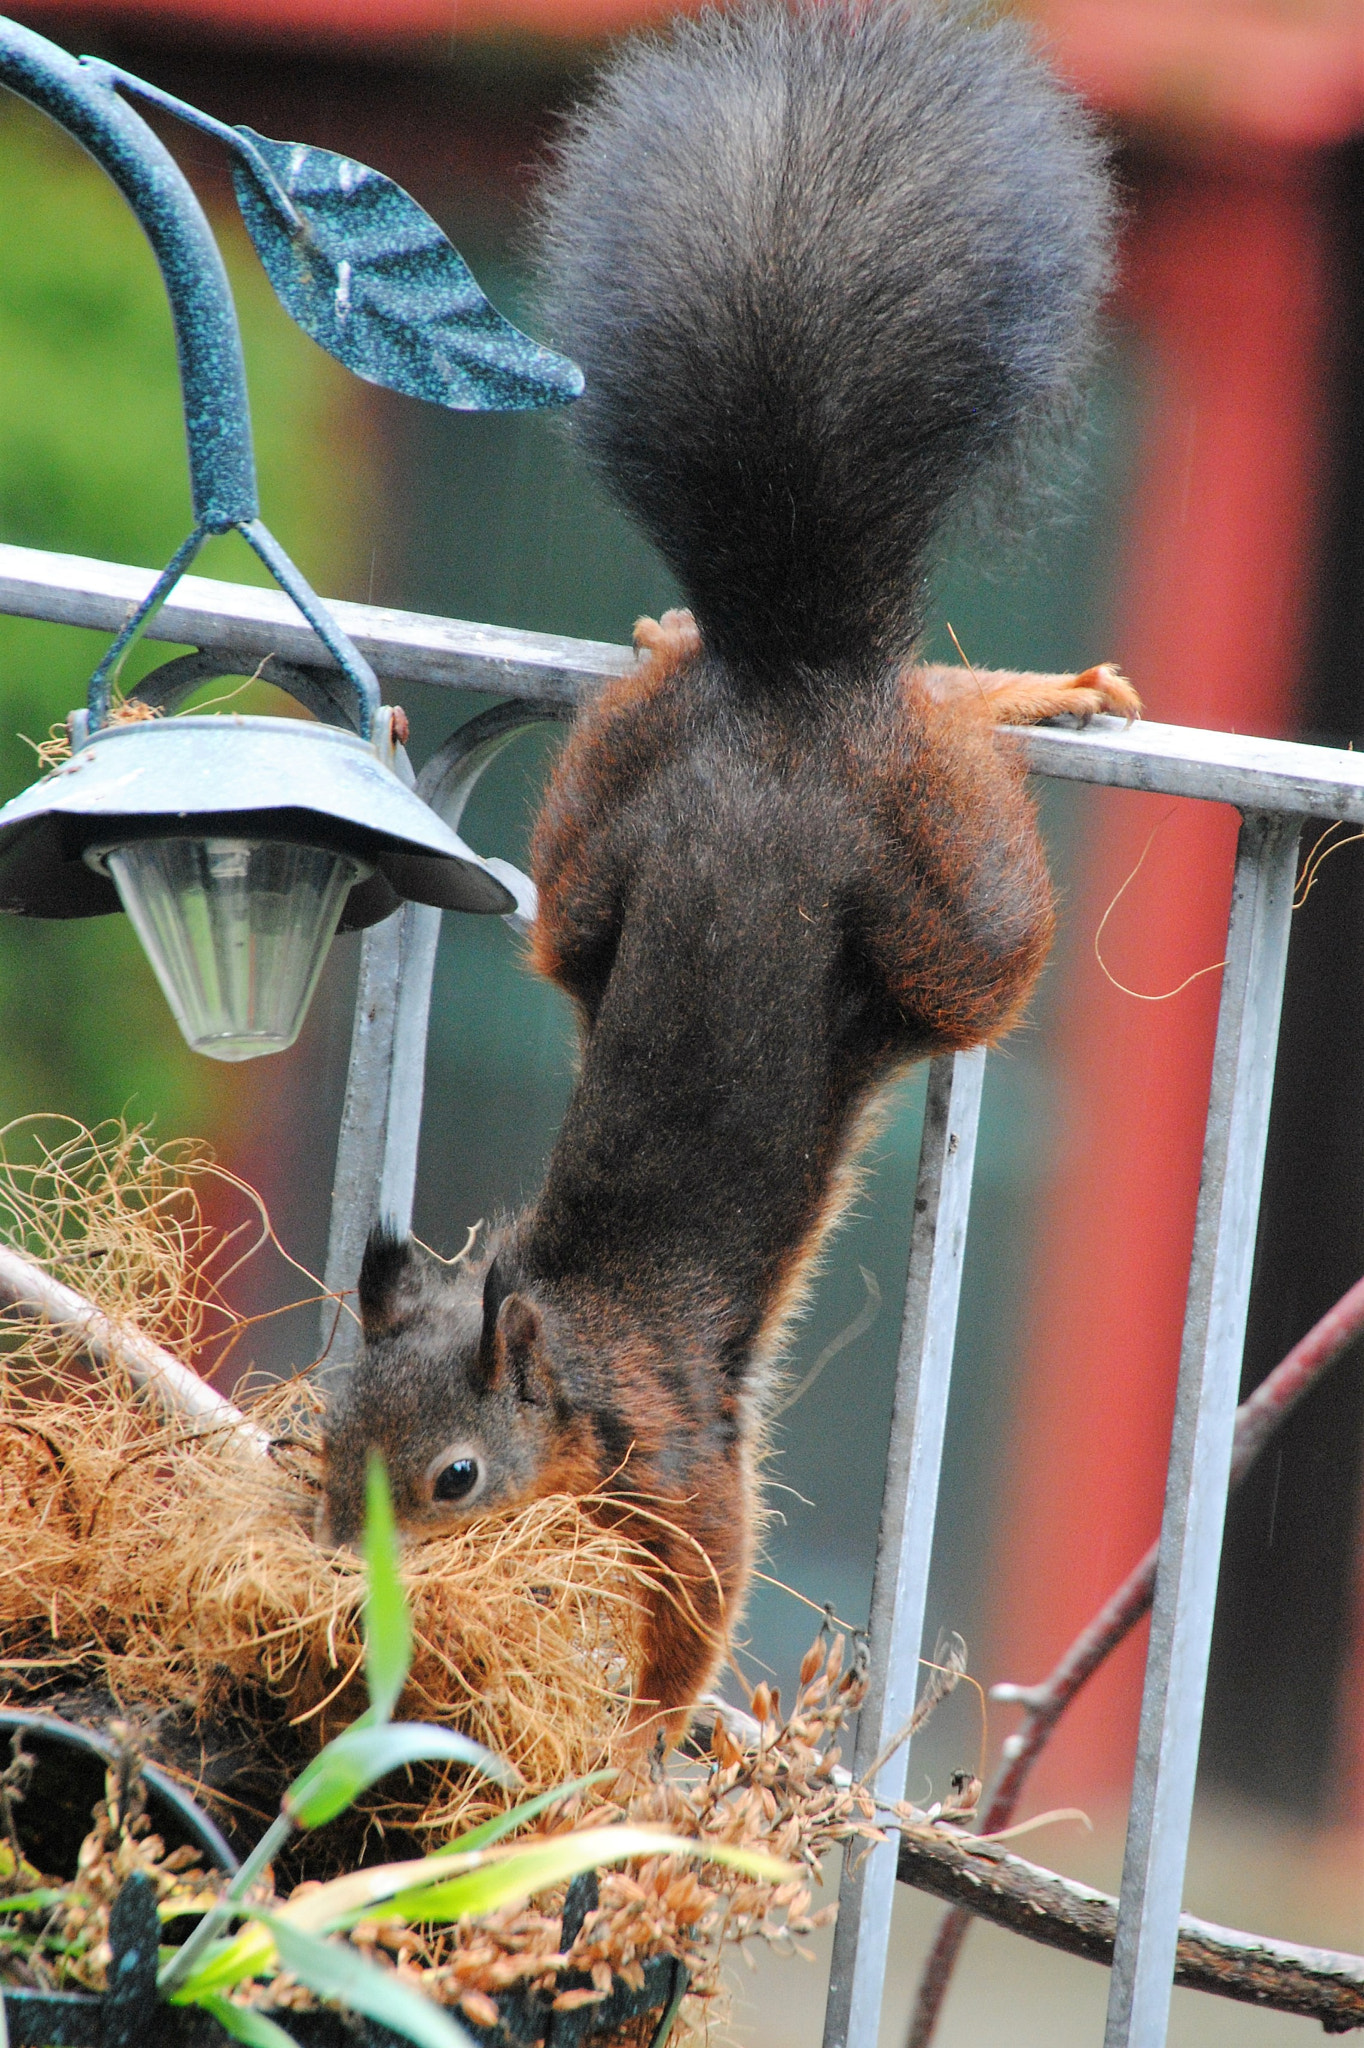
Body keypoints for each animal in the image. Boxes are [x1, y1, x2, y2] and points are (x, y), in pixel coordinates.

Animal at [321, 0, 1138, 1748]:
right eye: (320, 1438)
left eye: (456, 1479)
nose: (349, 1581)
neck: (562, 1333)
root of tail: (787, 680)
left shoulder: (677, 1450)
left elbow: (703, 1587)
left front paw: (636, 1741)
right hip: (594, 876)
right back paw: (669, 634)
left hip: (946, 891)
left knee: (970, 868)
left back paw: (1006, 696)